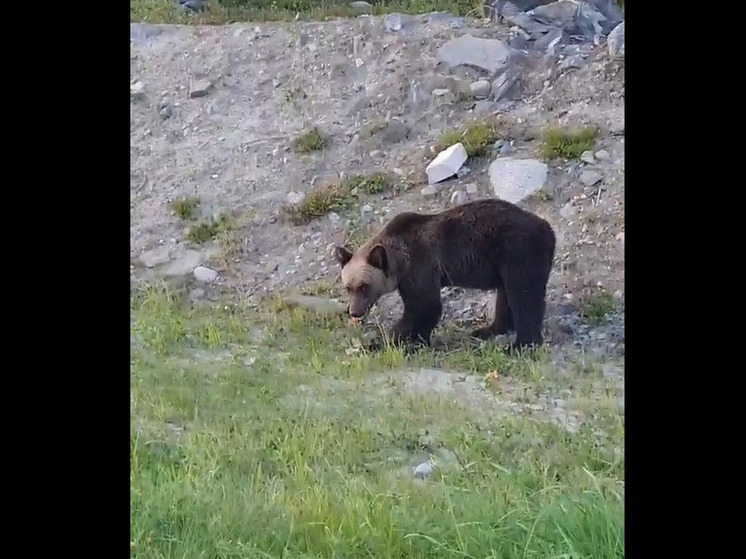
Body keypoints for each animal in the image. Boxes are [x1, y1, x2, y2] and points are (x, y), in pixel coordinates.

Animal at [334, 199, 556, 352]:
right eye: (348, 287)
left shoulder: (420, 267)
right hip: (505, 263)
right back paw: (487, 329)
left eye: (364, 286)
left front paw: (383, 342)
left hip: (518, 250)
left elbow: (425, 307)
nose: (354, 311)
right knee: (506, 295)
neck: (400, 261)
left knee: (524, 296)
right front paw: (416, 340)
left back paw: (520, 345)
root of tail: (548, 228)